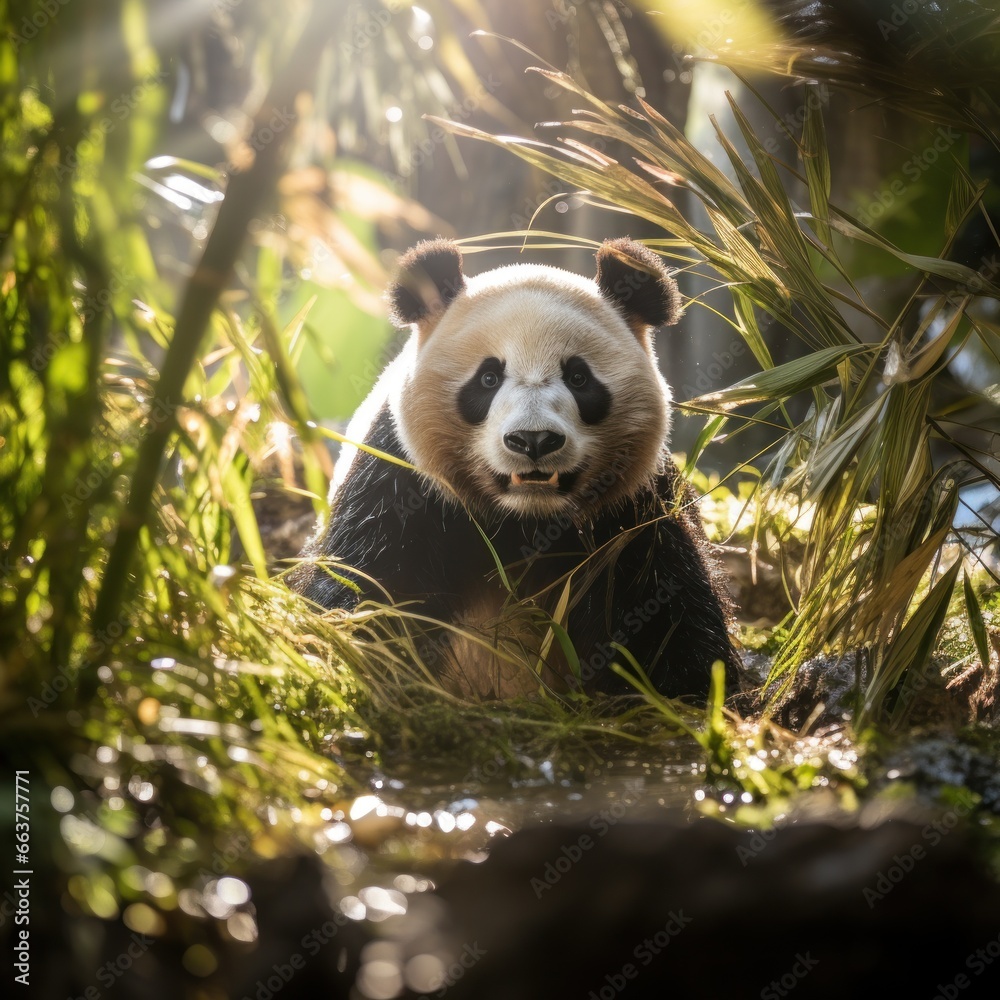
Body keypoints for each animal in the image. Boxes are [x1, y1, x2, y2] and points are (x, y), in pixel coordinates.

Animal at [292, 237, 740, 700]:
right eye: (488, 378)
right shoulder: (401, 480)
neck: (525, 520)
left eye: (579, 378)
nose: (534, 440)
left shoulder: (635, 507)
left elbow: (664, 605)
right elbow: (369, 583)